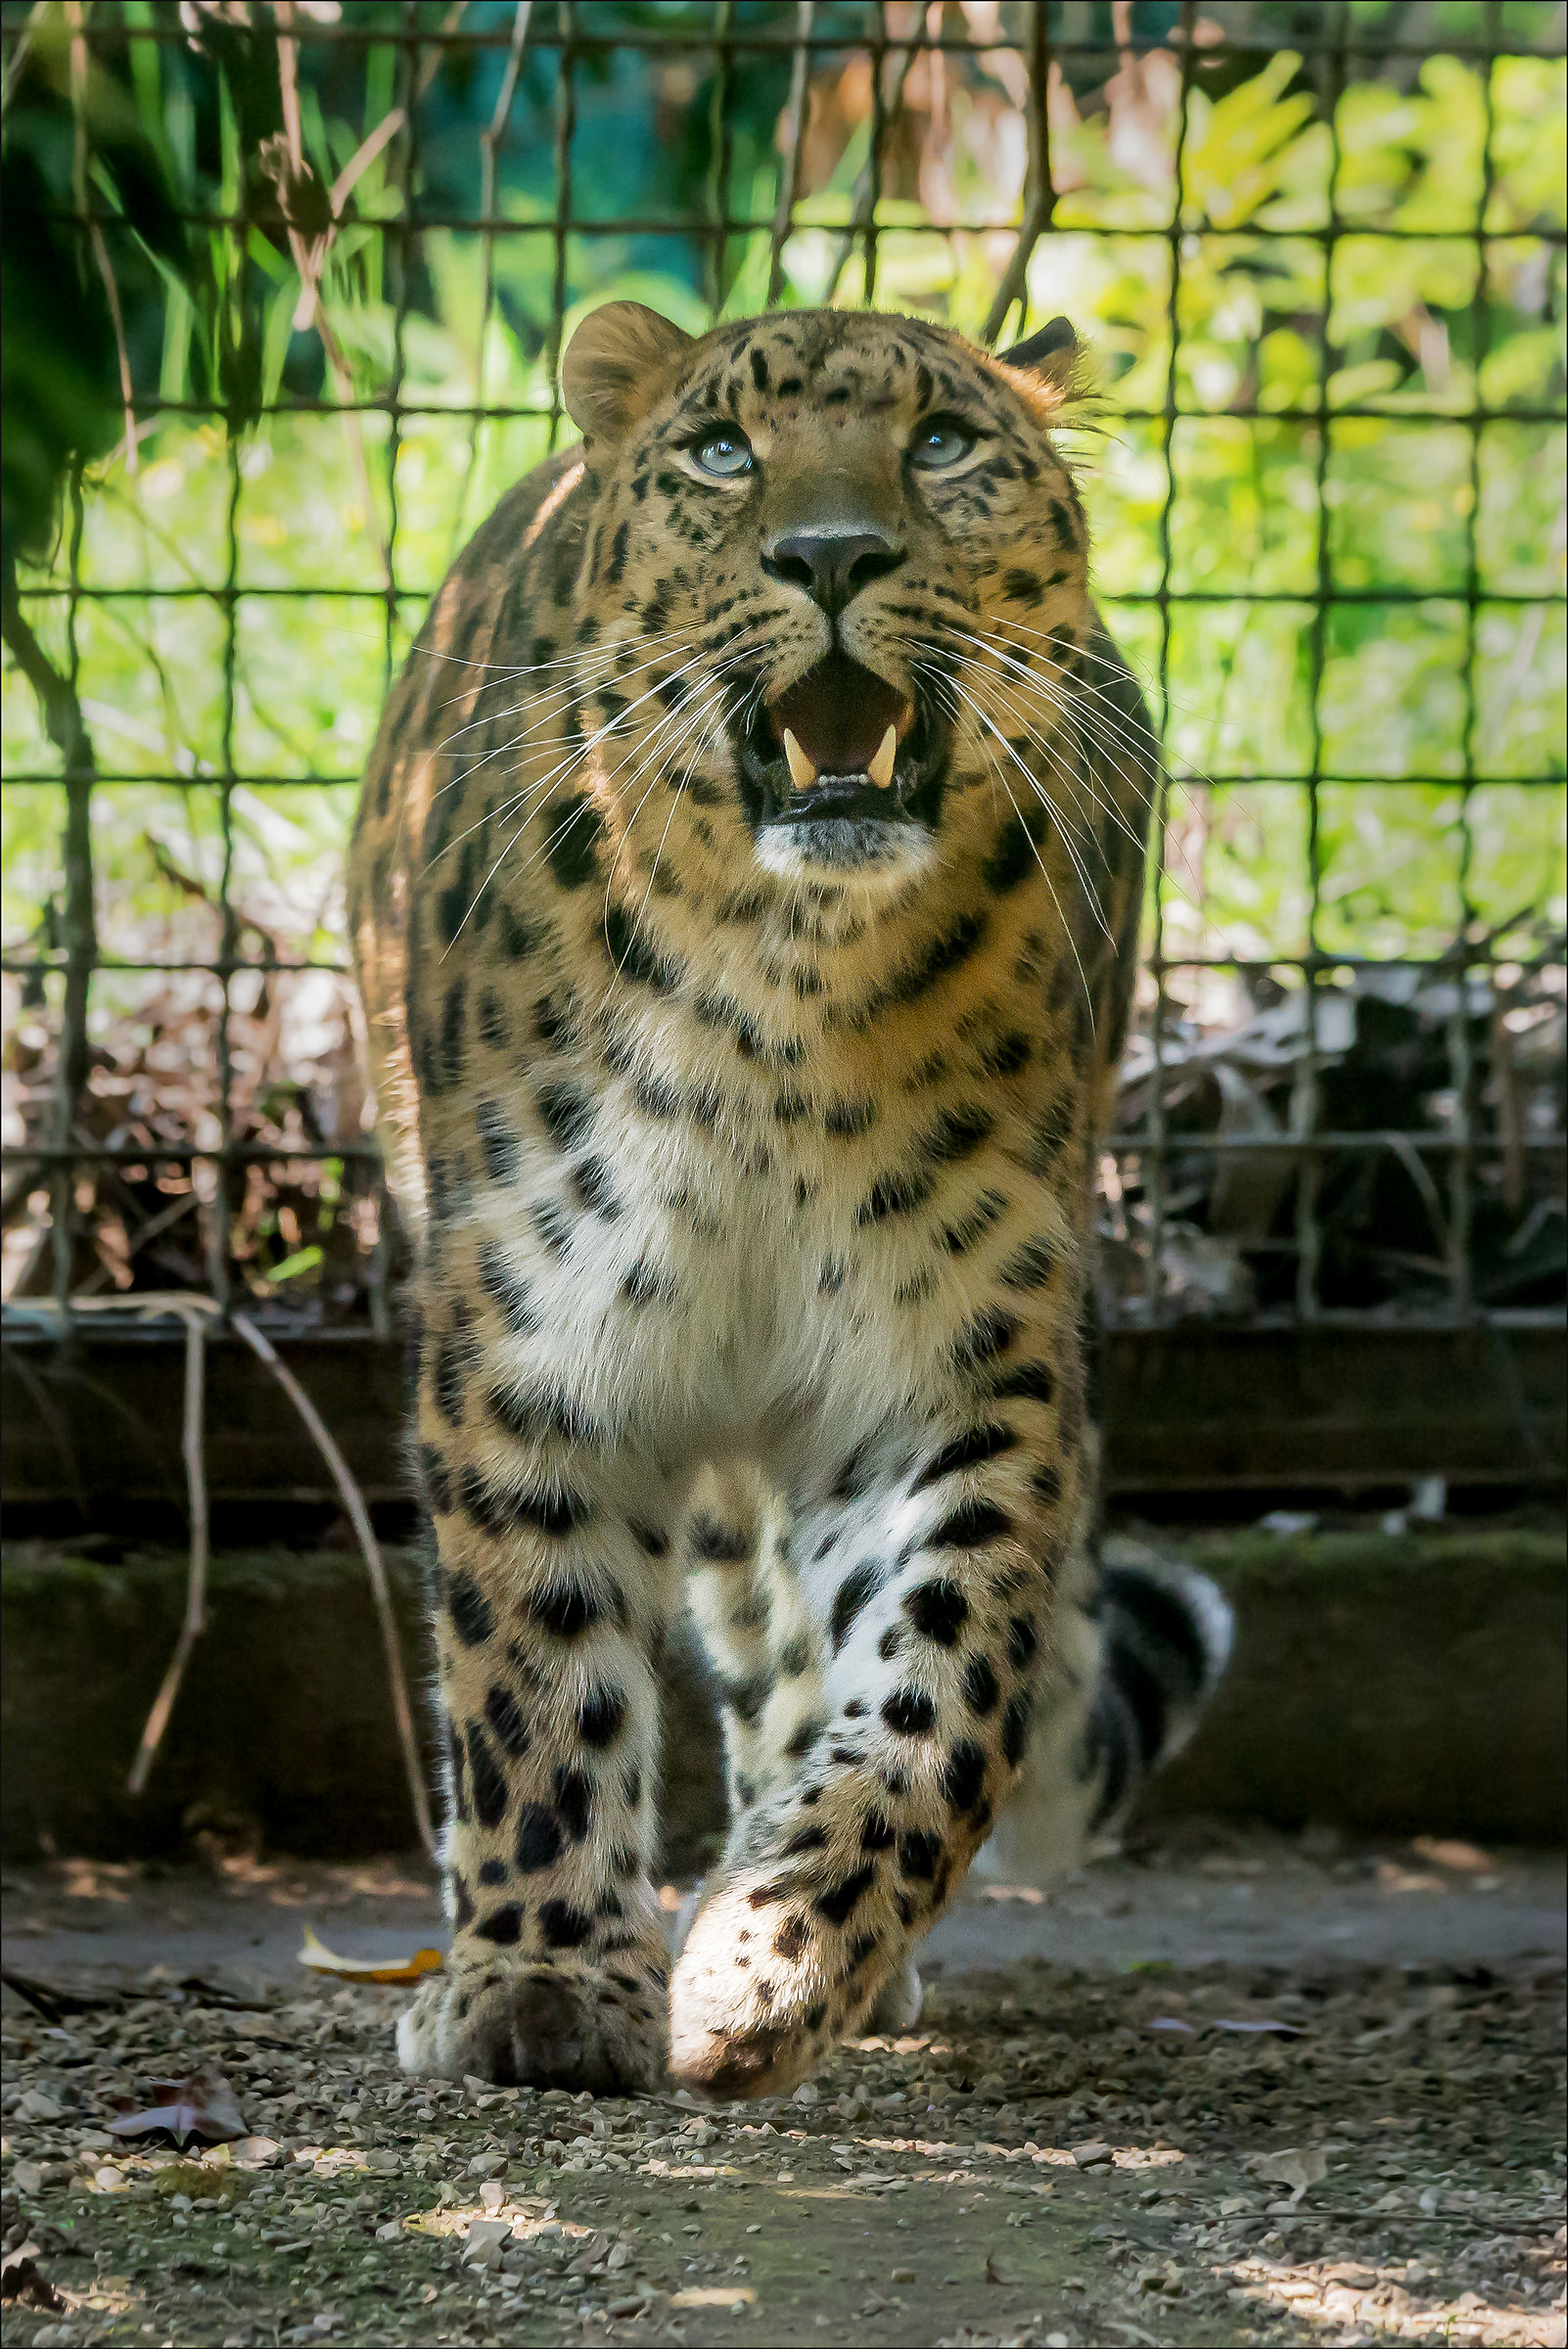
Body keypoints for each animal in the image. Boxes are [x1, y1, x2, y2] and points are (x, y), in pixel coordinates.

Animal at [347, 299, 1231, 2102]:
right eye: (719, 452)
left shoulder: (949, 1368)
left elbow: (936, 1693)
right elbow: (532, 1672)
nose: (830, 554)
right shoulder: (533, 1344)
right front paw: (540, 1984)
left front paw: (773, 1960)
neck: (785, 979)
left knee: (785, 1648)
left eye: (942, 444)